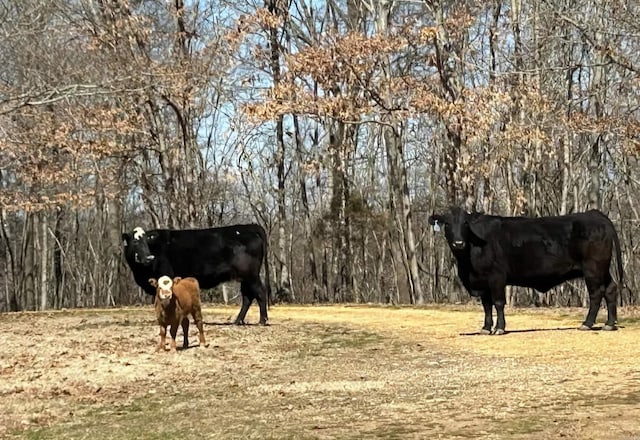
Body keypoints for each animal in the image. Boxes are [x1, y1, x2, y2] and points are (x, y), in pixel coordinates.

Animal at [123, 225, 272, 324]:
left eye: (146, 241)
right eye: (135, 241)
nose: (149, 257)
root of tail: (249, 226)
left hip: (251, 275)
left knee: (260, 292)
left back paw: (262, 320)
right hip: (244, 277)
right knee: (247, 297)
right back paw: (238, 321)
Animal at [428, 208, 624, 336]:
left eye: (466, 224)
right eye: (446, 224)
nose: (458, 243)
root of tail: (595, 214)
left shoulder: (496, 277)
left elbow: (498, 303)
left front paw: (499, 328)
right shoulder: (482, 282)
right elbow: (486, 306)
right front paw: (485, 328)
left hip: (593, 269)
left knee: (596, 293)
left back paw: (587, 324)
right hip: (602, 269)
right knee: (610, 289)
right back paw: (609, 324)